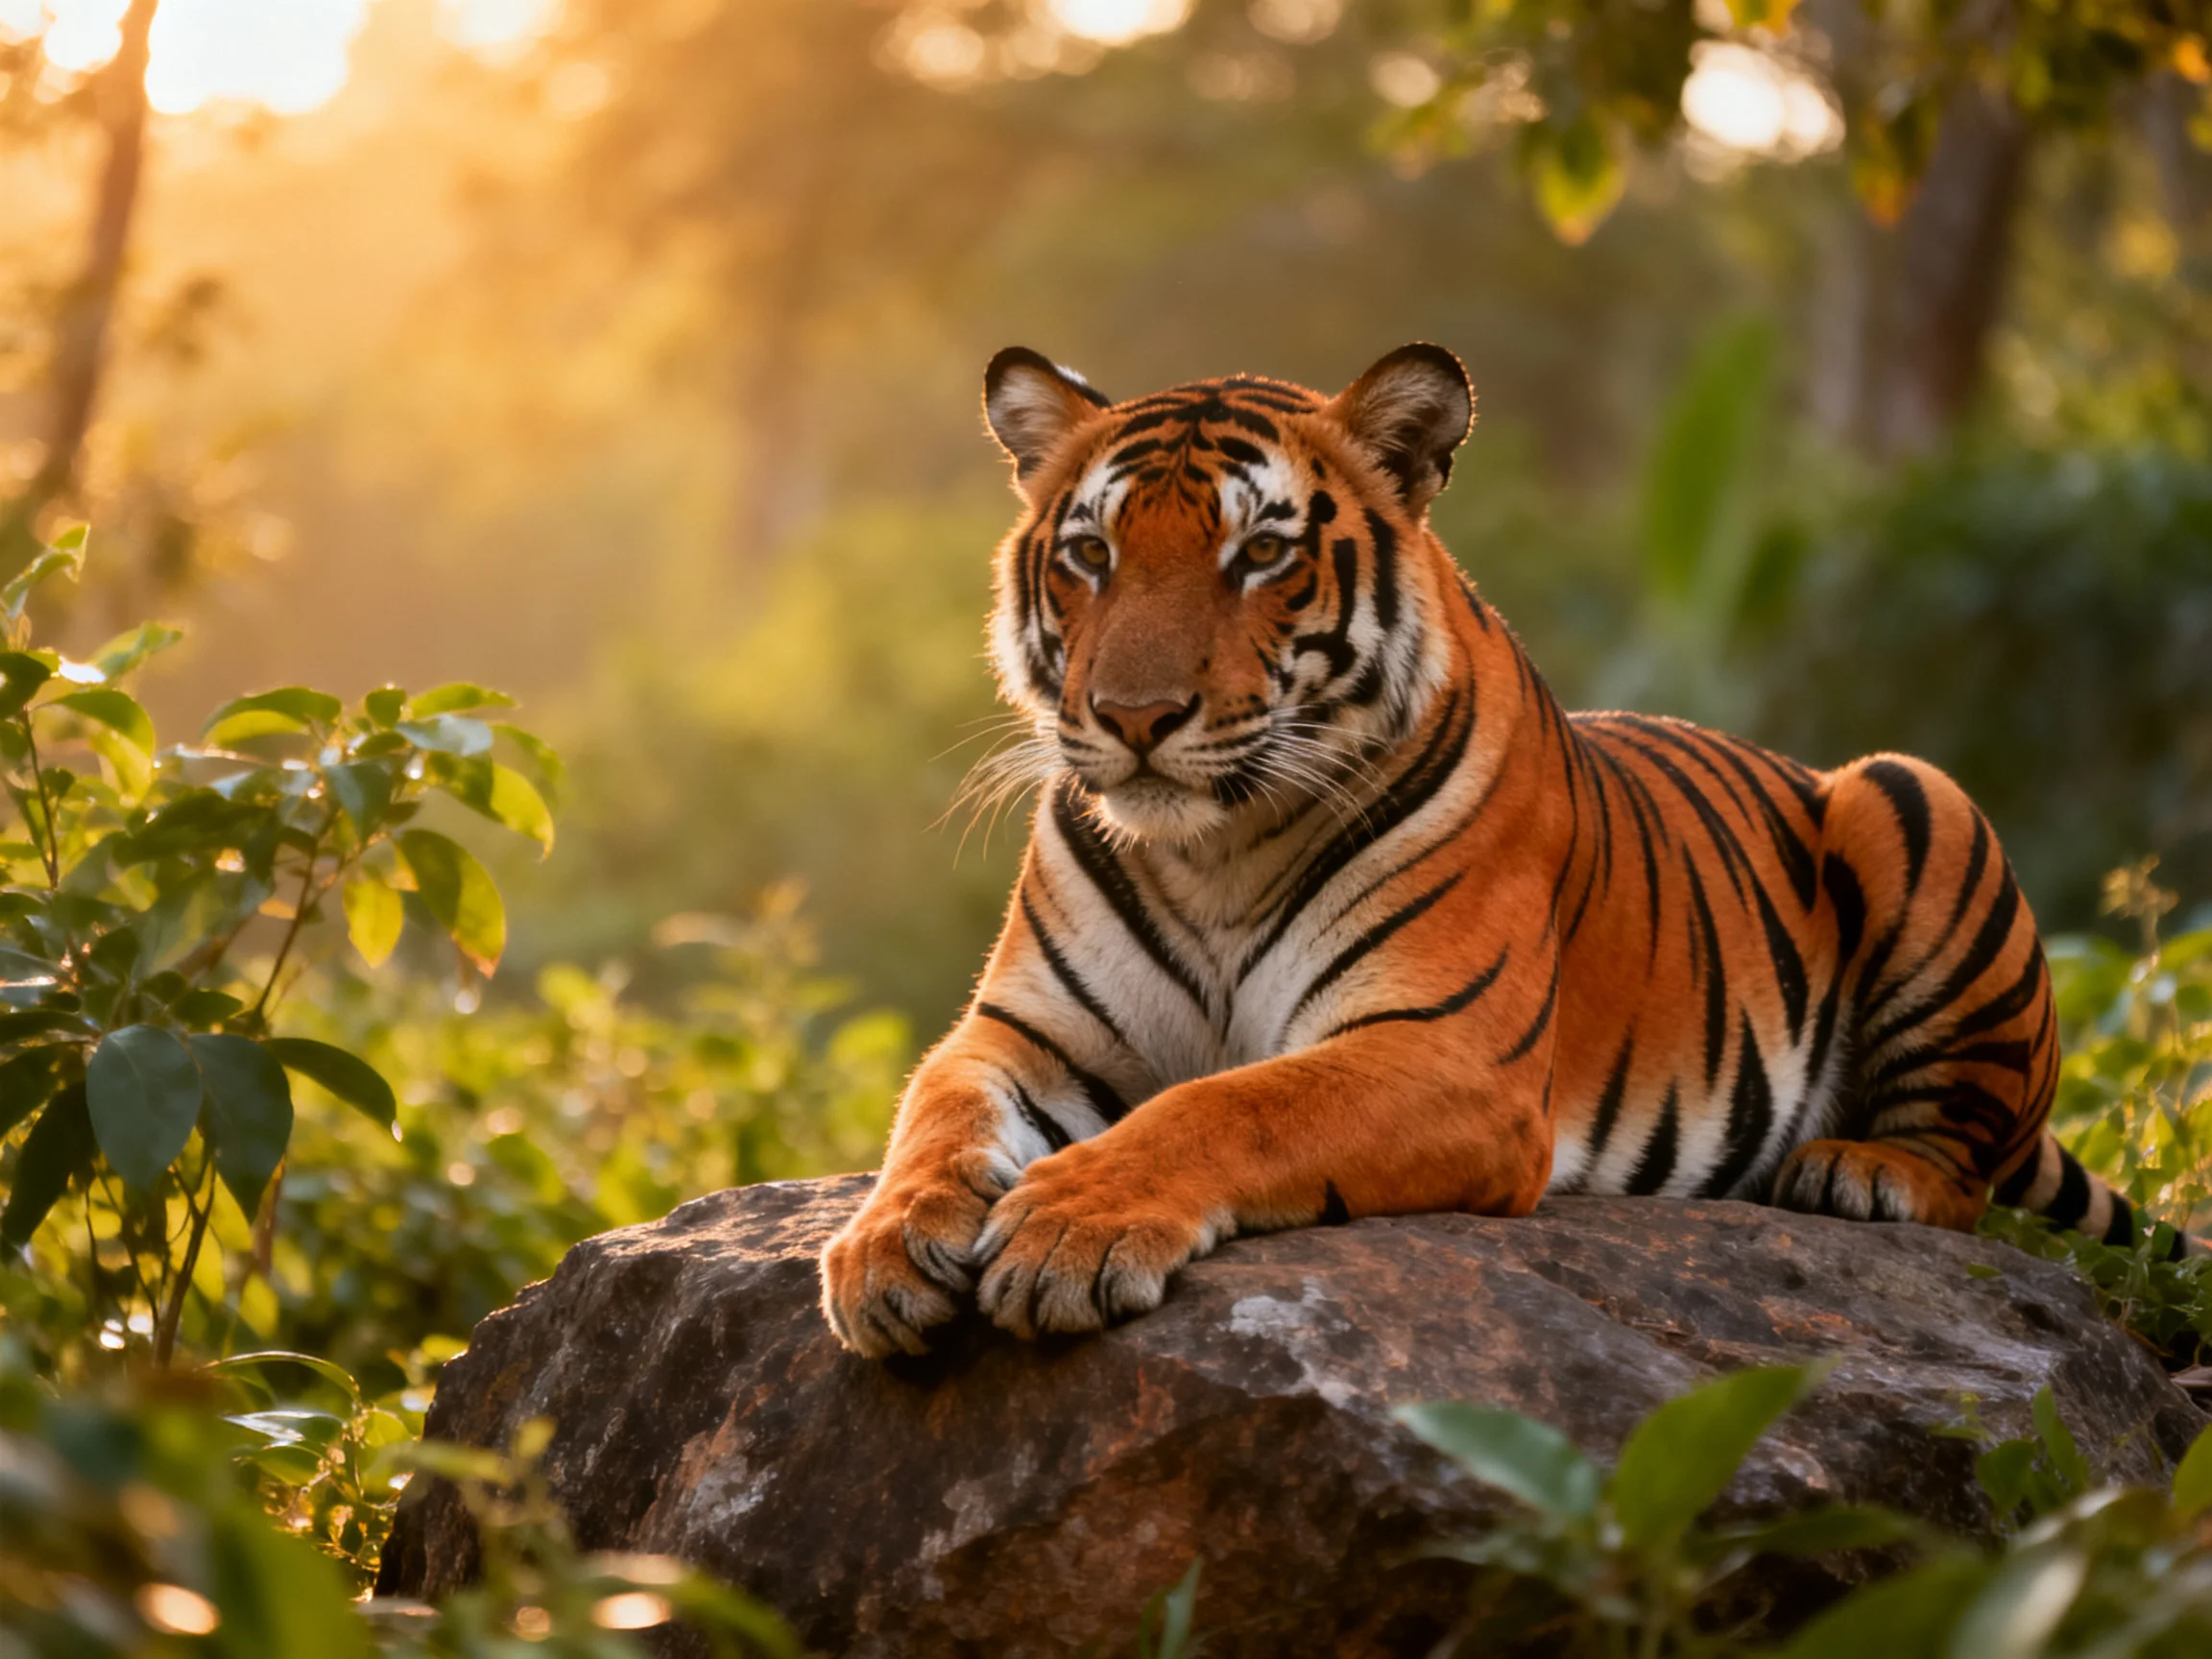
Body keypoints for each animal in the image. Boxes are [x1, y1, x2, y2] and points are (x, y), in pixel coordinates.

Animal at [818, 342, 2144, 1360]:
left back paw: (1857, 1171)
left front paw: (1067, 1227)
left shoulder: (1444, 1049)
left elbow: (1227, 1104)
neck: (1217, 851)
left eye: (1261, 554)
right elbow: (934, 1114)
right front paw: (884, 1249)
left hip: (1910, 791)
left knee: (1968, 1179)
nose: (1136, 718)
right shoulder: (1026, 1033)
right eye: (1090, 554)